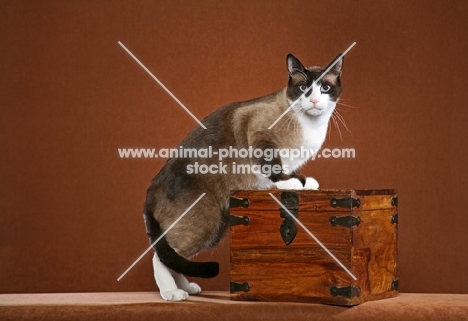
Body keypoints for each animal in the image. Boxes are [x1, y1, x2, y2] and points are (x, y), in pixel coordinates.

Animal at [144, 52, 346, 300]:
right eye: (304, 88)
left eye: (325, 88)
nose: (315, 101)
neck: (311, 126)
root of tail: (153, 185)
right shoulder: (258, 133)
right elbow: (274, 167)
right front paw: (290, 183)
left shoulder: (291, 159)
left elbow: (289, 170)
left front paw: (305, 183)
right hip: (206, 222)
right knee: (161, 255)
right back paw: (172, 293)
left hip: (216, 226)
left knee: (174, 257)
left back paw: (187, 288)